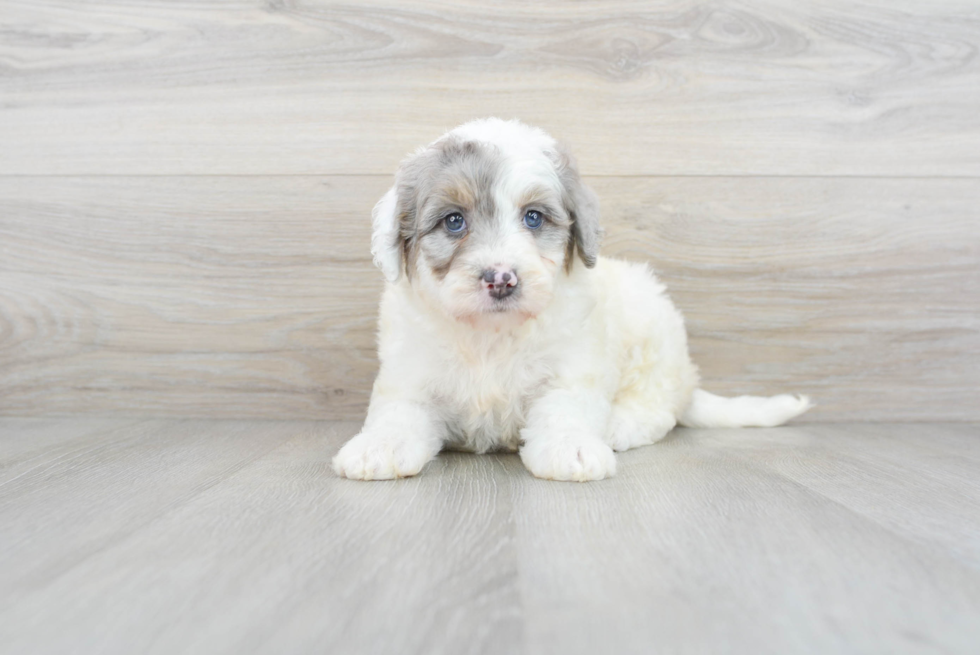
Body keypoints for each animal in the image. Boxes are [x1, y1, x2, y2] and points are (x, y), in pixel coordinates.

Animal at [334, 119, 808, 482]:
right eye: (454, 221)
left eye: (533, 218)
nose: (501, 279)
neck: (491, 335)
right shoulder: (410, 373)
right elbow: (397, 414)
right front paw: (377, 448)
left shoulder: (572, 366)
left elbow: (565, 408)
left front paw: (571, 450)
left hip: (655, 328)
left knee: (657, 405)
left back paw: (618, 425)